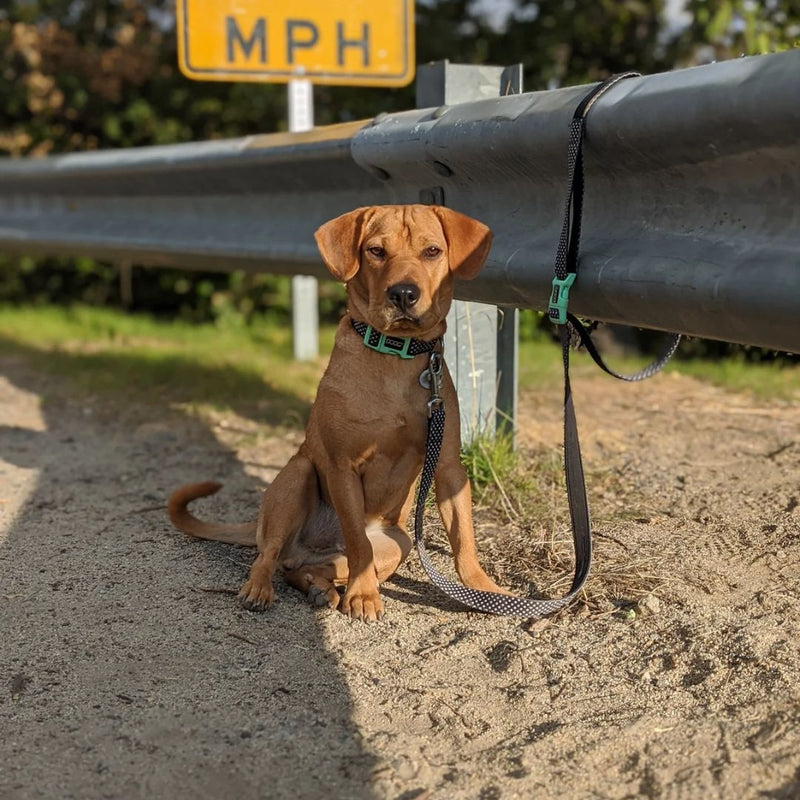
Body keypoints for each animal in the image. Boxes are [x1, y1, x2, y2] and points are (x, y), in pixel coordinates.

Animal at [168, 203, 506, 620]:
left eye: (432, 251)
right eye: (376, 251)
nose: (403, 293)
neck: (394, 358)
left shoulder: (447, 467)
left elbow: (463, 540)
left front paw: (483, 590)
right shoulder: (342, 465)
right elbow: (359, 542)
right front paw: (362, 596)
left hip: (398, 542)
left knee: (307, 568)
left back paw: (321, 587)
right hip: (296, 478)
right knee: (269, 556)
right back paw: (261, 588)